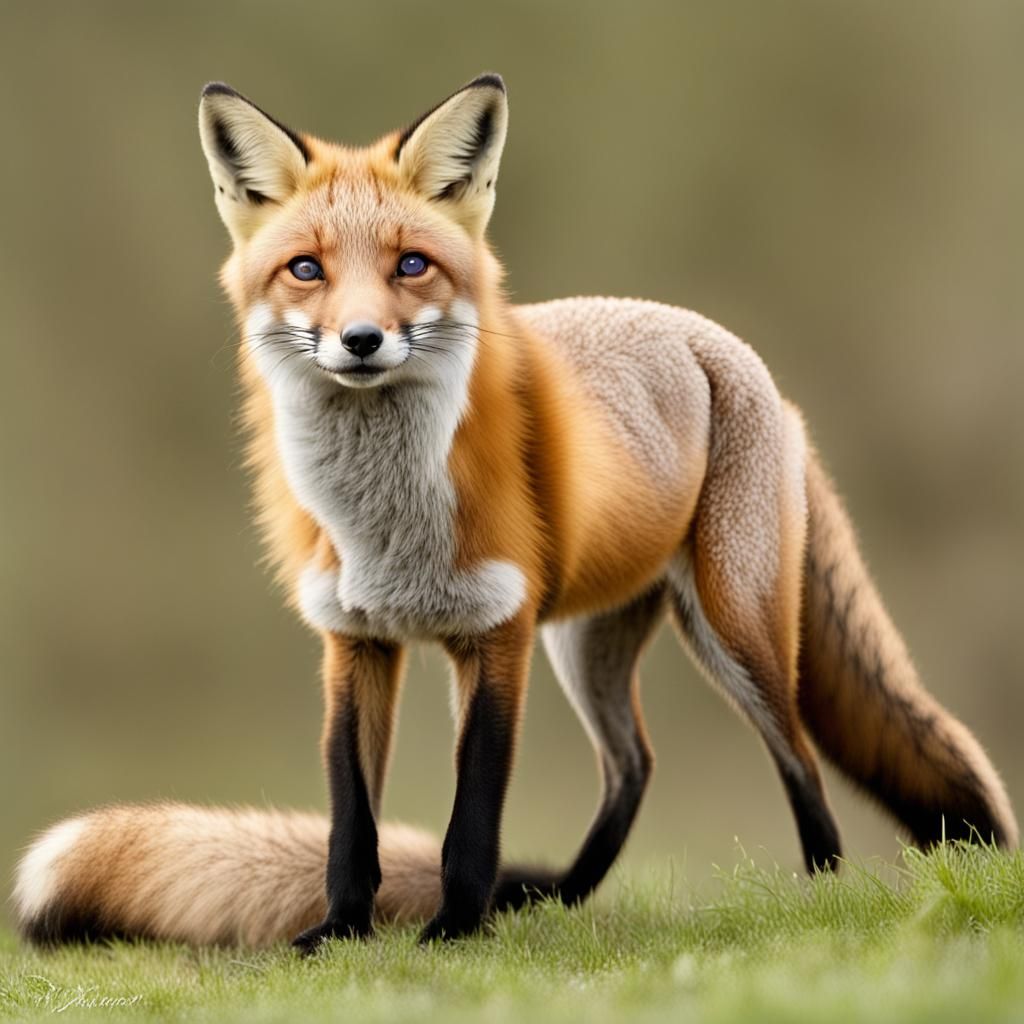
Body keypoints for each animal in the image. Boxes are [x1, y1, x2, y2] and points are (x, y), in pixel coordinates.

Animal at [14, 73, 1017, 952]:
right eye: (305, 270)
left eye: (411, 266)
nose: (361, 340)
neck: (386, 523)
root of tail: (733, 353)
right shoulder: (353, 641)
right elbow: (350, 821)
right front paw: (341, 932)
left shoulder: (496, 635)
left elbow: (473, 816)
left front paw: (455, 930)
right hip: (589, 643)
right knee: (633, 765)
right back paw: (559, 899)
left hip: (728, 625)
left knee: (799, 752)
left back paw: (817, 890)